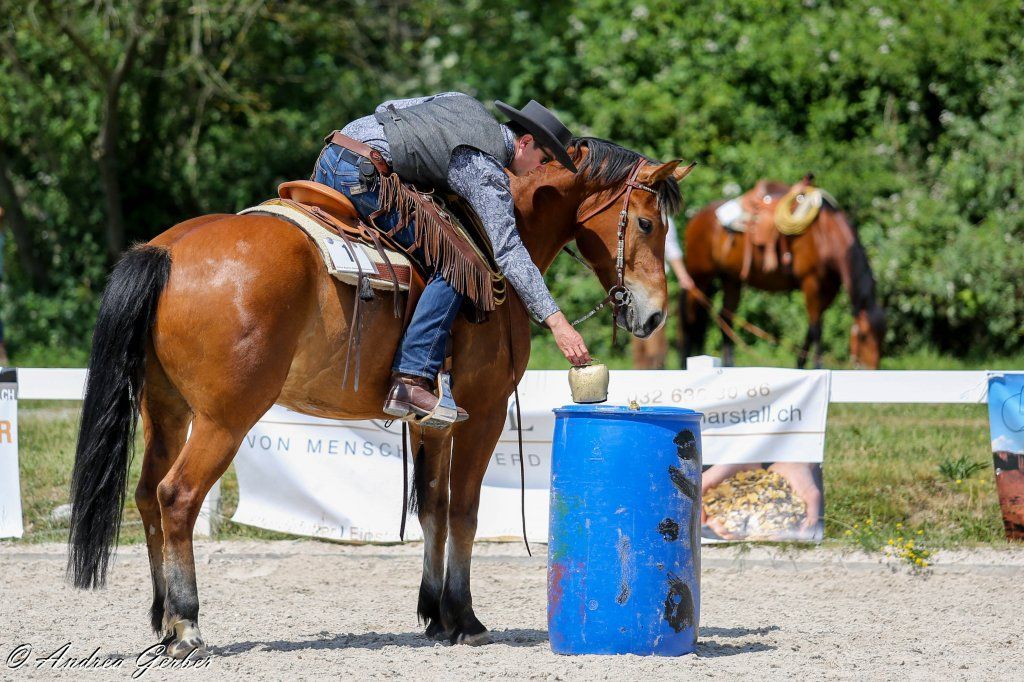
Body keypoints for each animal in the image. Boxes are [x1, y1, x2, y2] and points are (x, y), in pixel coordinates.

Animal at [66, 138, 690, 657]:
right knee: (177, 498)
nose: (655, 314)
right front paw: (465, 618)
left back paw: (161, 619)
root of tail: (168, 250)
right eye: (645, 222)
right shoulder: (483, 413)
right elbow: (464, 511)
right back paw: (188, 626)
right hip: (224, 420)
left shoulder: (431, 421)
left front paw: (435, 614)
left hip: (165, 412)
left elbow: (433, 507)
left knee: (146, 497)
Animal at [680, 180, 885, 369]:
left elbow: (811, 328)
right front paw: (818, 367)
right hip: (699, 276)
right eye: (863, 336)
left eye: (882, 336)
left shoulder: (829, 290)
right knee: (690, 319)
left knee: (725, 318)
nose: (870, 370)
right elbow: (817, 329)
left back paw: (729, 364)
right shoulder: (811, 282)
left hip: (731, 279)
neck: (825, 235)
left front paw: (801, 365)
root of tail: (694, 218)